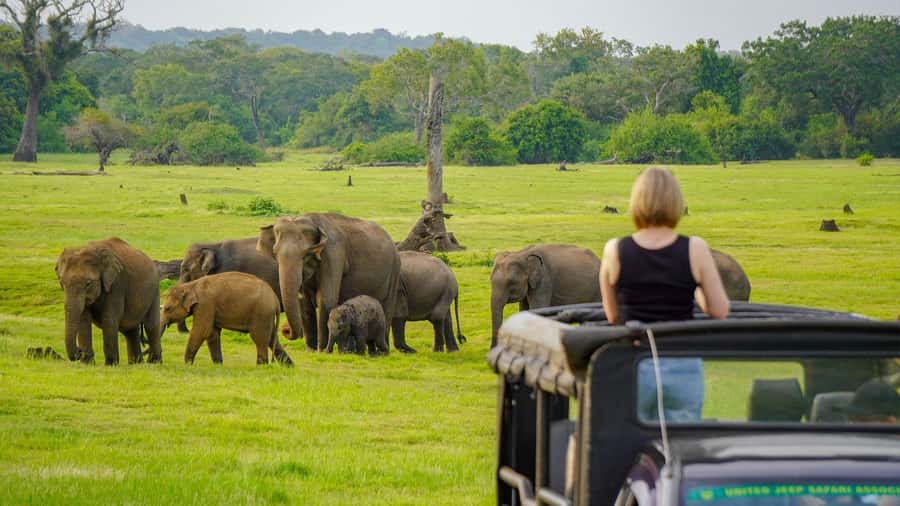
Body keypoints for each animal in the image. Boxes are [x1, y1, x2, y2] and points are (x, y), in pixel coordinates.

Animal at [160, 272, 292, 366]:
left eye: (167, 308)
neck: (191, 285)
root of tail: (275, 299)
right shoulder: (209, 308)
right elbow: (212, 333)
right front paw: (218, 364)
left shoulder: (205, 304)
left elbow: (202, 331)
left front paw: (187, 364)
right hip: (266, 316)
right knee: (271, 338)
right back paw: (289, 366)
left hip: (261, 313)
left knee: (259, 338)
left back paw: (261, 366)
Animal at [257, 213, 410, 352]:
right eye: (274, 253)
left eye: (306, 254)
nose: (285, 329)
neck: (312, 220)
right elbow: (304, 304)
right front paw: (311, 350)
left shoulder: (333, 253)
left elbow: (326, 298)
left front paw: (321, 350)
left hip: (394, 272)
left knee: (386, 309)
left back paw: (380, 350)